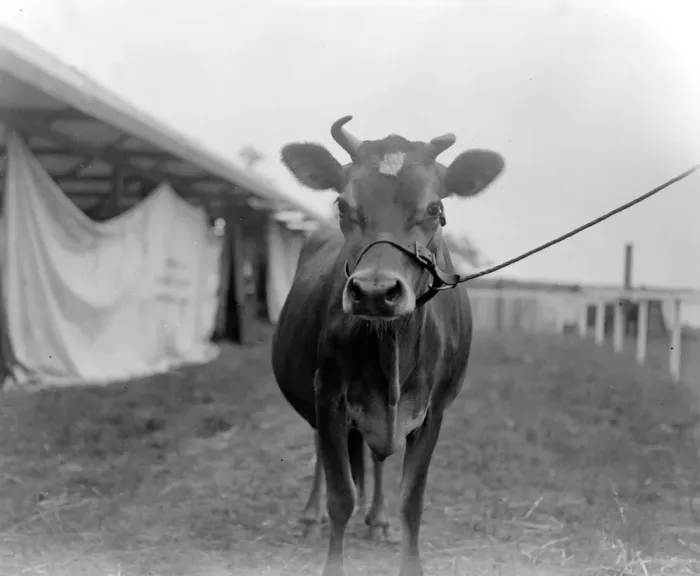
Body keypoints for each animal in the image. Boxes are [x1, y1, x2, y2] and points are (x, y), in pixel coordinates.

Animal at [271, 116, 505, 576]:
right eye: (343, 206)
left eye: (435, 210)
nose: (375, 292)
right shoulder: (328, 395)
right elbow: (342, 496)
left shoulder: (434, 410)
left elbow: (412, 502)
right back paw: (310, 517)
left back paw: (378, 519)